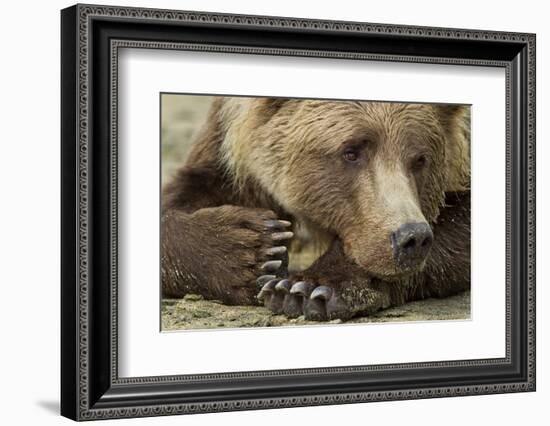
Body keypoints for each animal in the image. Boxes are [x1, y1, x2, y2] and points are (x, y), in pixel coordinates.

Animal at [162, 97, 472, 320]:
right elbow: (185, 194)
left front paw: (308, 289)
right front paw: (254, 249)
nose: (412, 238)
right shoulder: (226, 146)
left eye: (420, 159)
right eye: (351, 152)